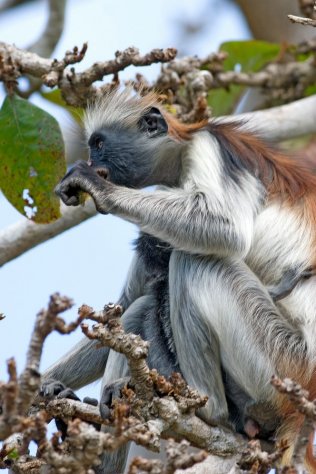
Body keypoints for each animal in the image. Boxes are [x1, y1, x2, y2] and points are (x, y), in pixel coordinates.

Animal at [47, 87, 316, 472]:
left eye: (98, 144)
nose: (90, 158)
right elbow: (122, 308)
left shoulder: (209, 148)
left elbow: (224, 229)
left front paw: (98, 188)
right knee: (140, 307)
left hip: (281, 364)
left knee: (194, 260)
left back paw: (208, 409)